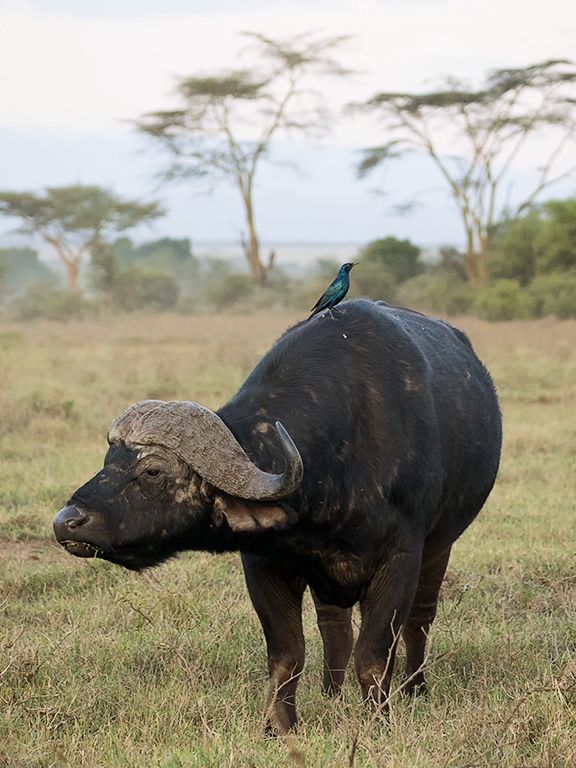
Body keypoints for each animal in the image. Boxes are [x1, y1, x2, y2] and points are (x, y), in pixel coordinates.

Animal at [53, 299, 502, 733]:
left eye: (152, 471)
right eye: (109, 460)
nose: (66, 521)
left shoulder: (401, 558)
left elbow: (375, 655)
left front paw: (378, 722)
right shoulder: (264, 562)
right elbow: (288, 653)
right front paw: (279, 724)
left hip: (440, 546)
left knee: (420, 619)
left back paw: (414, 688)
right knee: (334, 625)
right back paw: (331, 693)